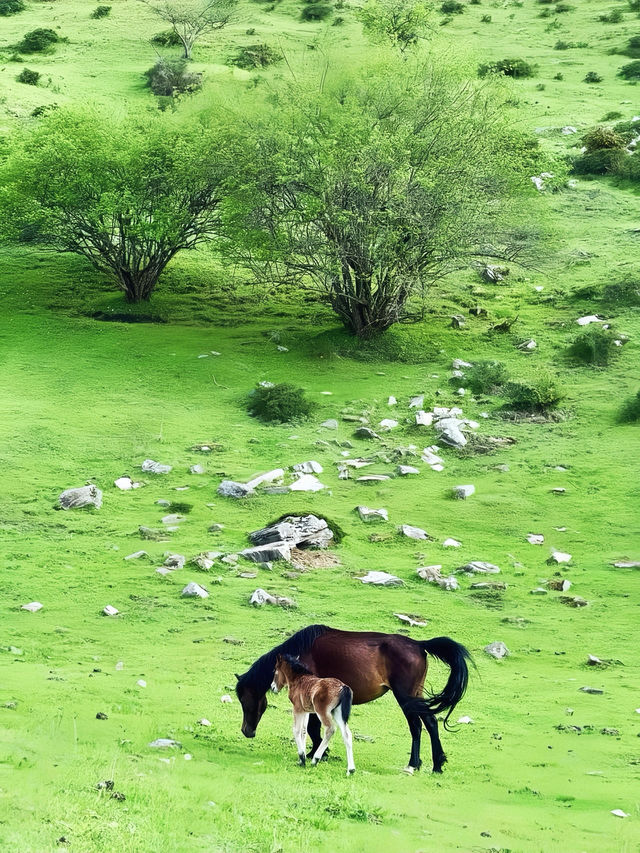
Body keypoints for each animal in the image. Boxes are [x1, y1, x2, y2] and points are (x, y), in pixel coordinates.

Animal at [235, 624, 470, 776]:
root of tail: (419, 645)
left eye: (244, 699)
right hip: (416, 696)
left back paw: (415, 764)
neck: (302, 652)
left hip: (406, 697)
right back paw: (436, 764)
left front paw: (317, 753)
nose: (247, 731)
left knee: (417, 726)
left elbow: (312, 728)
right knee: (430, 723)